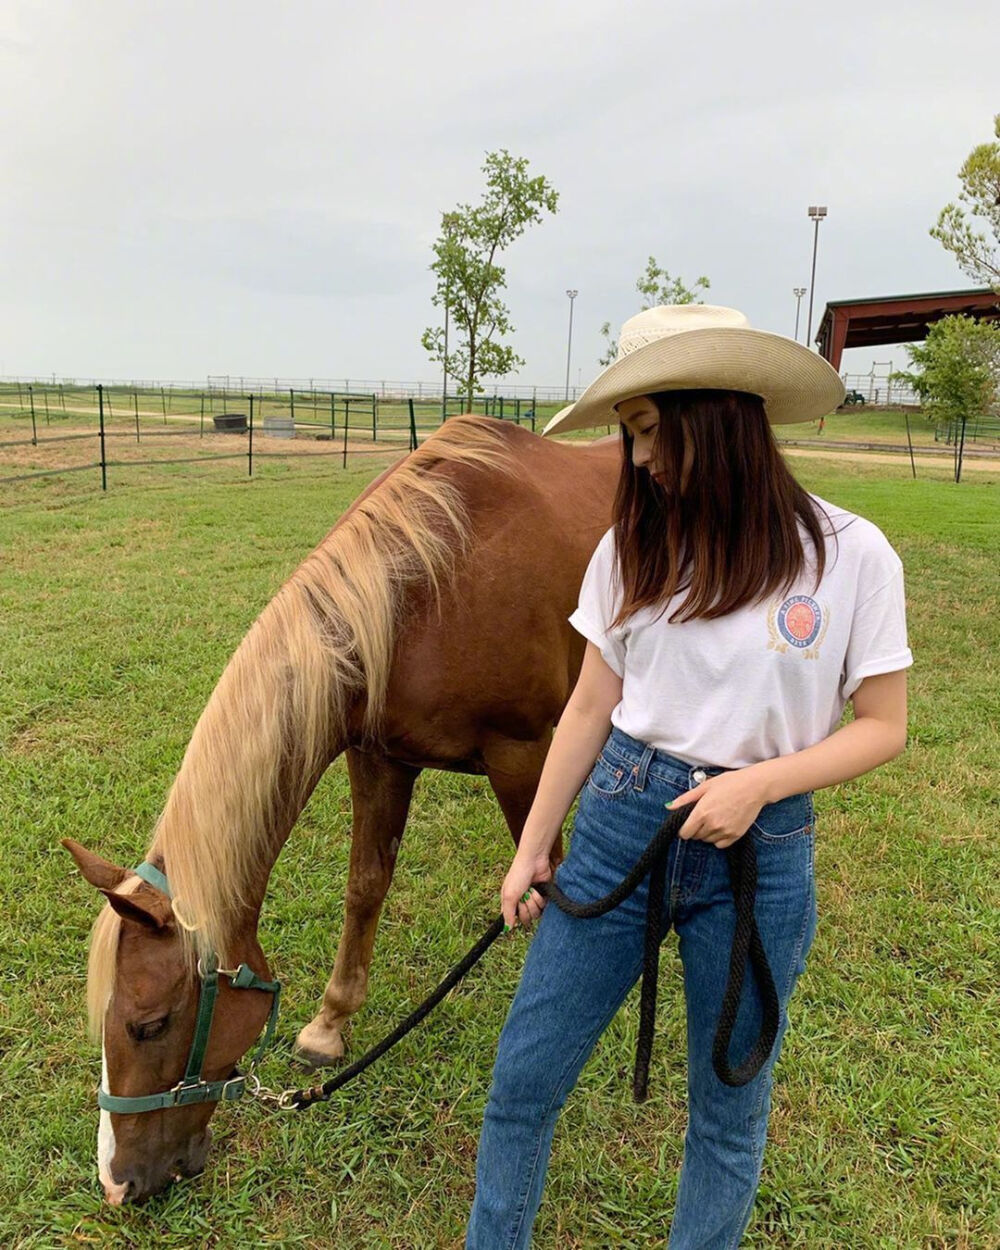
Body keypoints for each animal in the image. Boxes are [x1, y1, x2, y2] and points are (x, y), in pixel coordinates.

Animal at [66, 417, 617, 1200]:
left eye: (149, 1024)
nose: (116, 1184)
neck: (431, 585)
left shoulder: (524, 755)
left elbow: (549, 880)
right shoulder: (378, 755)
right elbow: (365, 887)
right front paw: (328, 1027)